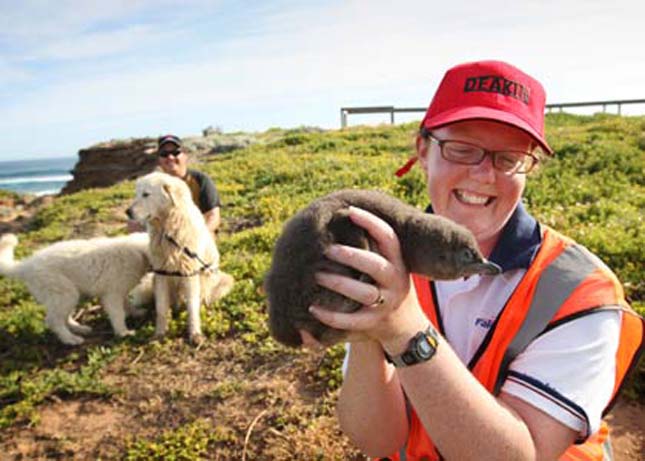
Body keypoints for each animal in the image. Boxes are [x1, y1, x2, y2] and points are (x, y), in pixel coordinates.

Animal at [0, 232, 150, 344]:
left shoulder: (120, 291)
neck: (137, 252)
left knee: (64, 317)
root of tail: (27, 265)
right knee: (53, 320)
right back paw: (70, 339)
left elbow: (128, 305)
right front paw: (123, 332)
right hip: (64, 293)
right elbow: (118, 314)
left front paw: (136, 313)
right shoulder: (112, 295)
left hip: (66, 296)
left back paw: (79, 329)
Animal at [126, 171, 234, 344]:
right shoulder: (161, 273)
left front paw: (195, 334)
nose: (128, 212)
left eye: (146, 194)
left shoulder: (189, 273)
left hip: (222, 281)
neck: (168, 230)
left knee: (203, 298)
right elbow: (161, 309)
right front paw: (159, 334)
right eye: (136, 194)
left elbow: (192, 308)